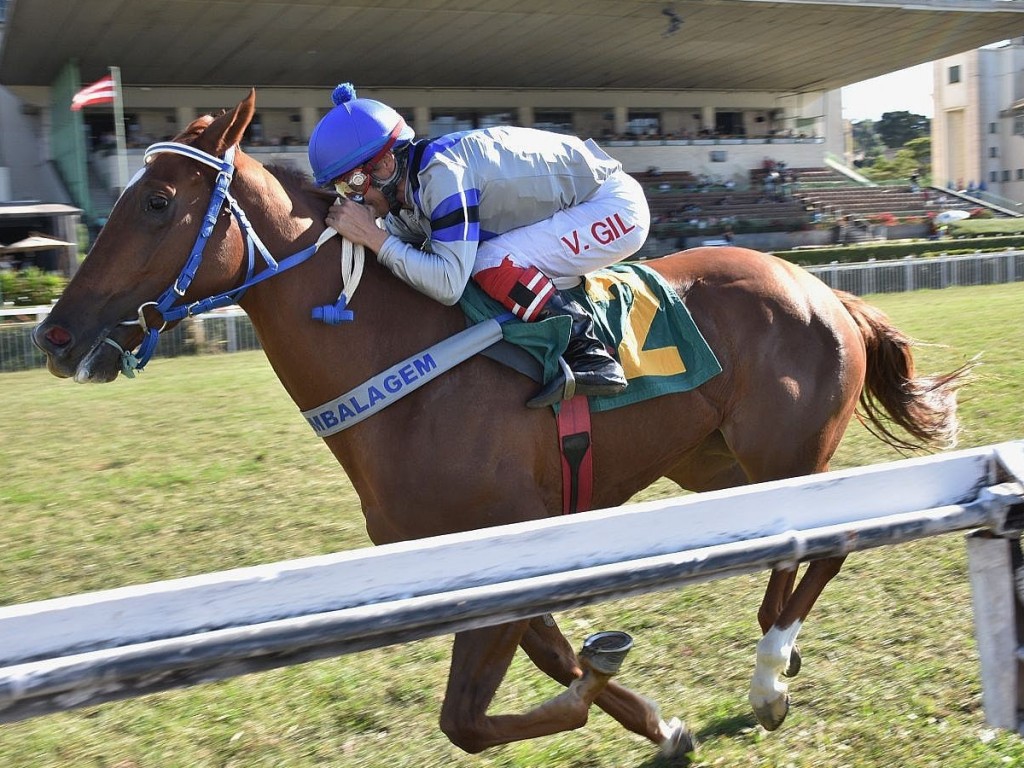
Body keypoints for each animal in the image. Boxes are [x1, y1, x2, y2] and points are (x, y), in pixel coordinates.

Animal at [32, 93, 966, 761]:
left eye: (157, 202)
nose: (54, 335)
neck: (404, 367)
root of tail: (822, 288)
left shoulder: (507, 541)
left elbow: (468, 720)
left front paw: (613, 685)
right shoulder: (492, 564)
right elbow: (543, 667)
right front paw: (654, 721)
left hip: (785, 453)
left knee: (831, 541)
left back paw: (770, 676)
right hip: (714, 466)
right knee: (792, 552)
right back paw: (783, 655)